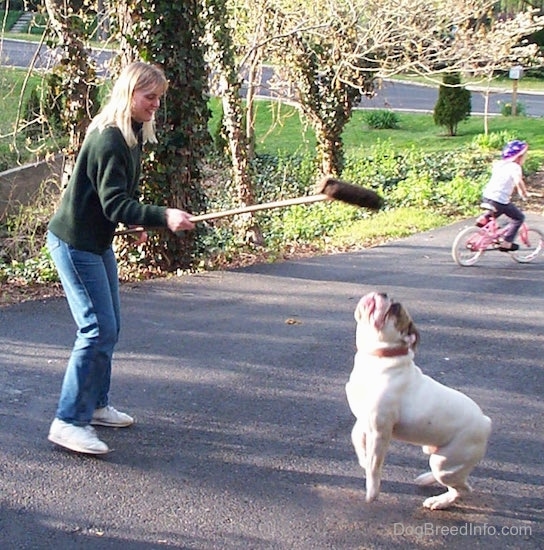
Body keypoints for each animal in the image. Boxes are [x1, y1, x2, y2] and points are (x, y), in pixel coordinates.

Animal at [344, 294, 492, 512]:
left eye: (395, 310)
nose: (383, 294)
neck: (380, 357)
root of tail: (485, 421)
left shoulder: (380, 431)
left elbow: (374, 465)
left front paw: (372, 492)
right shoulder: (364, 421)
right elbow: (356, 438)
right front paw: (362, 457)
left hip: (444, 462)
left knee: (462, 488)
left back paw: (439, 501)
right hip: (439, 456)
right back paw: (427, 479)